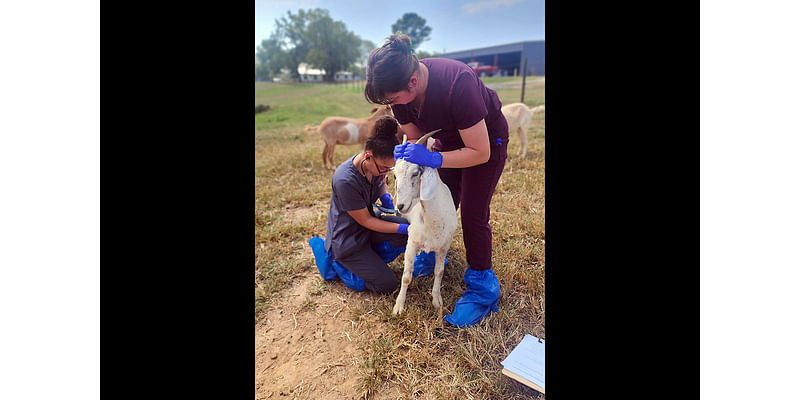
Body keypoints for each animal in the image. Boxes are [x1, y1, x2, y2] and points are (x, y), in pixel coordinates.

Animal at [392, 130, 460, 320]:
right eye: (395, 176)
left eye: (416, 173)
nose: (400, 206)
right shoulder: (412, 242)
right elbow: (406, 277)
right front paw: (399, 306)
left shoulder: (444, 245)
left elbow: (439, 271)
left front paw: (437, 301)